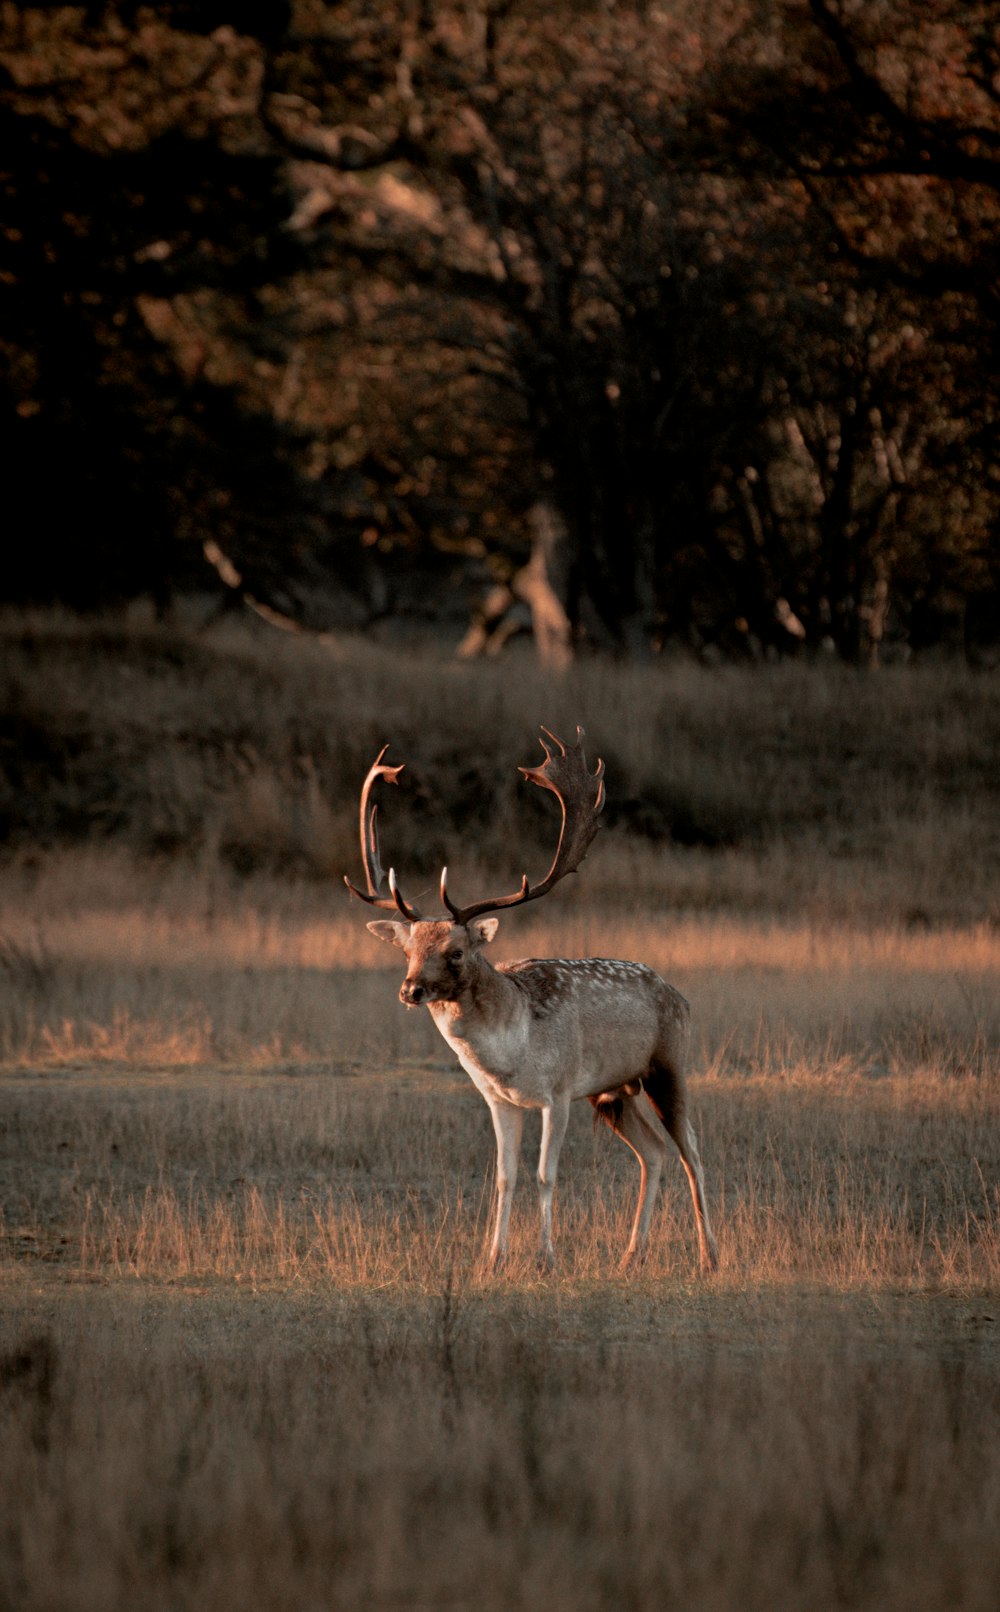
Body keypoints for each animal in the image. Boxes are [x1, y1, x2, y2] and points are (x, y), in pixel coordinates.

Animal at [345, 728, 719, 1270]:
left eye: (456, 951)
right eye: (407, 951)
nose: (410, 989)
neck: (512, 1053)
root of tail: (681, 996)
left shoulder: (558, 1091)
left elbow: (545, 1175)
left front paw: (547, 1257)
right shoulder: (498, 1099)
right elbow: (505, 1177)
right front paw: (492, 1259)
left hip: (668, 1064)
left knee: (692, 1150)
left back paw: (711, 1256)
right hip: (613, 1092)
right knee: (653, 1151)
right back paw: (631, 1255)